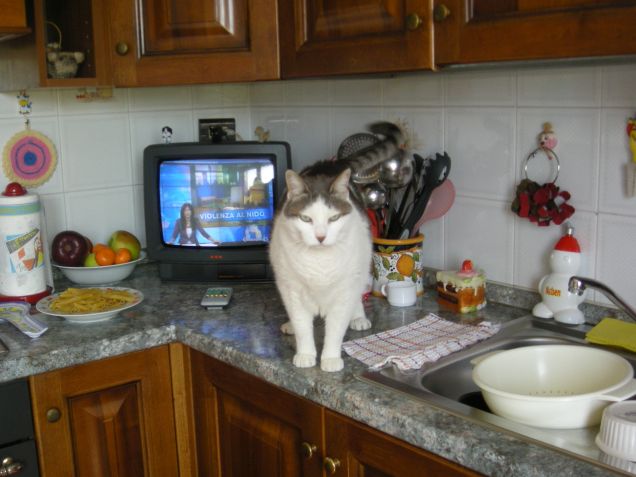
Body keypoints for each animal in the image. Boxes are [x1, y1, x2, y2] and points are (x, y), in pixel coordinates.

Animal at [268, 121, 402, 370]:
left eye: (333, 218)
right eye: (306, 219)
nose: (320, 237)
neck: (319, 261)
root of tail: (330, 164)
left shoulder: (343, 292)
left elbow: (336, 328)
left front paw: (330, 358)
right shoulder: (293, 290)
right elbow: (302, 326)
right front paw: (305, 354)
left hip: (361, 264)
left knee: (357, 294)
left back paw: (358, 317)